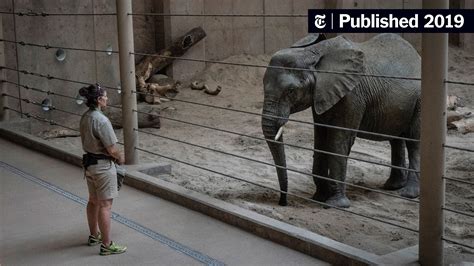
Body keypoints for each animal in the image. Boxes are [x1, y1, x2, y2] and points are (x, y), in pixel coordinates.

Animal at [262, 33, 422, 208]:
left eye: (291, 91)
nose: (282, 202)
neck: (311, 53)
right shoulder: (322, 95)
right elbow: (320, 139)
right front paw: (319, 197)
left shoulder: (352, 95)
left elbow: (337, 142)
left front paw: (336, 204)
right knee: (395, 139)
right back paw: (392, 186)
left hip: (419, 100)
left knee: (413, 142)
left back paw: (408, 194)